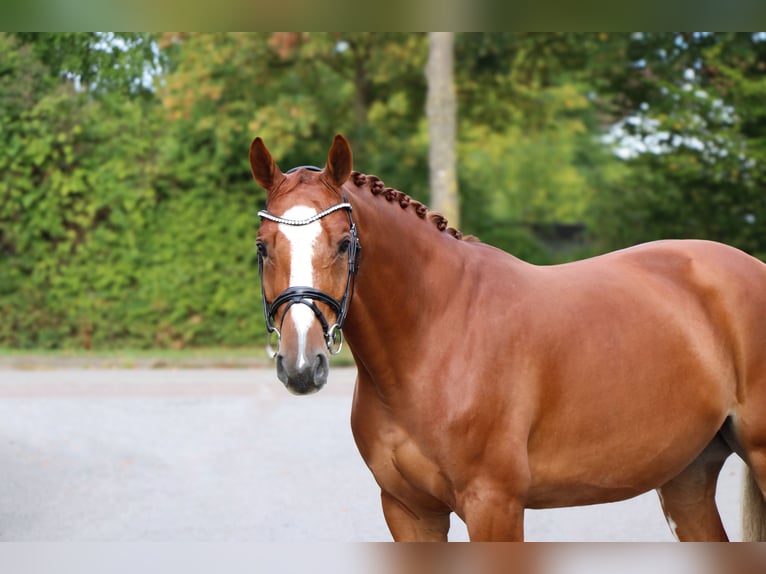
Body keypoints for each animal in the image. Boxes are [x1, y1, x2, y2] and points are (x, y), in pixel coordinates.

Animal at [249, 133, 766, 541]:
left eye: (343, 243)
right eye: (262, 247)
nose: (302, 364)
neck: (435, 335)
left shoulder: (493, 506)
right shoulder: (408, 511)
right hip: (685, 477)